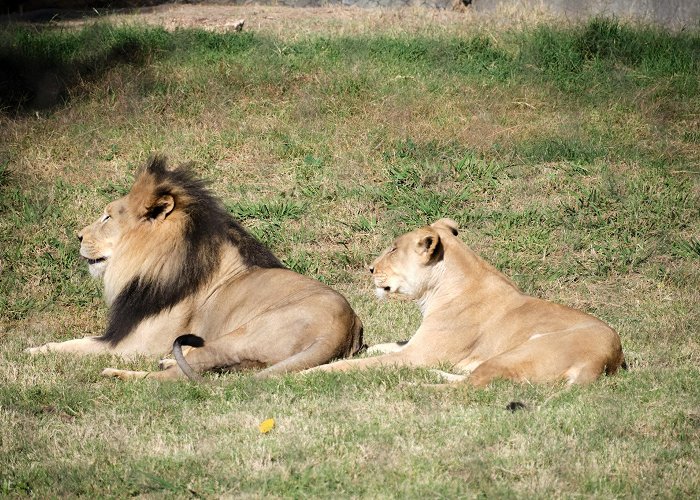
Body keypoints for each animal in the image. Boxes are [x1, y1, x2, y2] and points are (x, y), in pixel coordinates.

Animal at [24, 156, 364, 378]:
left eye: (107, 217)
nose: (78, 236)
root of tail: (341, 328)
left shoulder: (137, 344)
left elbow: (75, 345)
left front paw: (31, 352)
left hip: (240, 335)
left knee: (170, 380)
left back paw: (119, 376)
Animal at [304, 219, 624, 386]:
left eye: (394, 249)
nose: (370, 269)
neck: (435, 292)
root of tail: (605, 359)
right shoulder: (416, 345)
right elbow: (389, 343)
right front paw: (364, 347)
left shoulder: (416, 354)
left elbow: (358, 365)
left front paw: (312, 372)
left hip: (519, 351)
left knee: (468, 389)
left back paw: (413, 383)